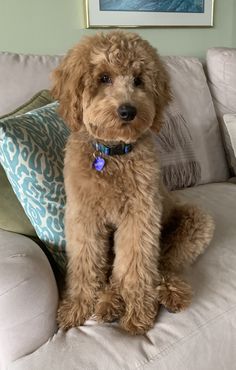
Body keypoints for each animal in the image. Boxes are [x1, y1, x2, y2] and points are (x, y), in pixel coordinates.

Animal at [52, 31, 215, 336]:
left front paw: (138, 312)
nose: (128, 111)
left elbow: (135, 267)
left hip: (196, 222)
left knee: (160, 266)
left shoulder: (140, 216)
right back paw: (108, 303)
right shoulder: (83, 217)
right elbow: (84, 263)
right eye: (104, 77)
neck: (113, 154)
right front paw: (77, 307)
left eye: (139, 80)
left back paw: (163, 293)